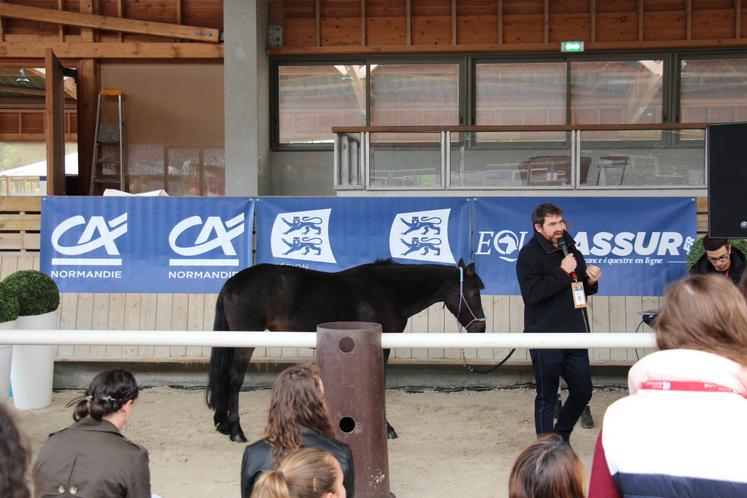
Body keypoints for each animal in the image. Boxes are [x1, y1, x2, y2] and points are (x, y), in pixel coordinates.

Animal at [206, 258, 486, 442]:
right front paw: (386, 429)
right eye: (474, 292)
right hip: (244, 342)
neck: (388, 290)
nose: (481, 328)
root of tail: (233, 282)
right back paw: (236, 431)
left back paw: (224, 424)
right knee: (234, 379)